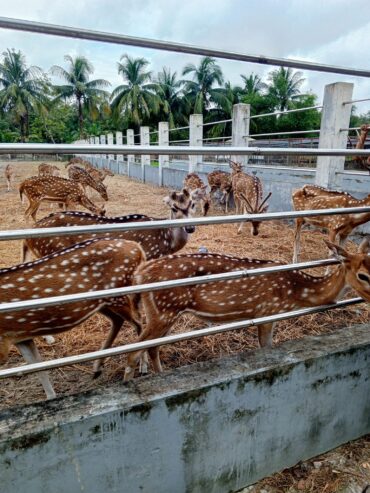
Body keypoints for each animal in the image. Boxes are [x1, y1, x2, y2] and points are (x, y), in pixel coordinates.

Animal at [0, 236, 146, 398]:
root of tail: (137, 247)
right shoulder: (20, 336)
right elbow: (37, 366)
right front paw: (51, 397)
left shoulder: (3, 342)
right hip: (102, 302)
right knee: (120, 320)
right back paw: (97, 369)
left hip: (118, 294)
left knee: (139, 322)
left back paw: (140, 369)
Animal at [123, 238, 370, 376]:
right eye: (363, 275)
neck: (296, 291)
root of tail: (139, 274)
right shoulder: (267, 310)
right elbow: (266, 348)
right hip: (163, 310)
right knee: (133, 352)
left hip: (163, 312)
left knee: (152, 348)